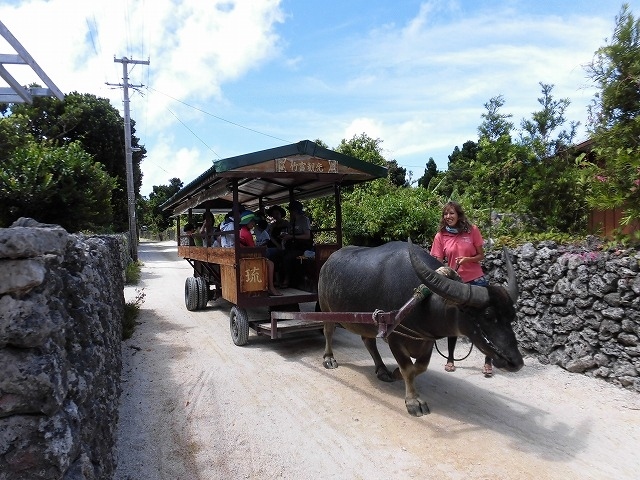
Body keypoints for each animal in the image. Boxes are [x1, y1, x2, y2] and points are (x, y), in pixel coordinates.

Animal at [318, 240, 524, 416]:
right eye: (488, 316)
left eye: (512, 316)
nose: (515, 362)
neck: (422, 301)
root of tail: (328, 262)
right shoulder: (395, 337)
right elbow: (408, 368)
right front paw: (413, 401)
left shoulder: (426, 339)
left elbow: (420, 367)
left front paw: (395, 372)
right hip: (326, 309)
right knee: (328, 331)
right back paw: (329, 358)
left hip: (367, 322)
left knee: (368, 341)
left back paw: (382, 370)